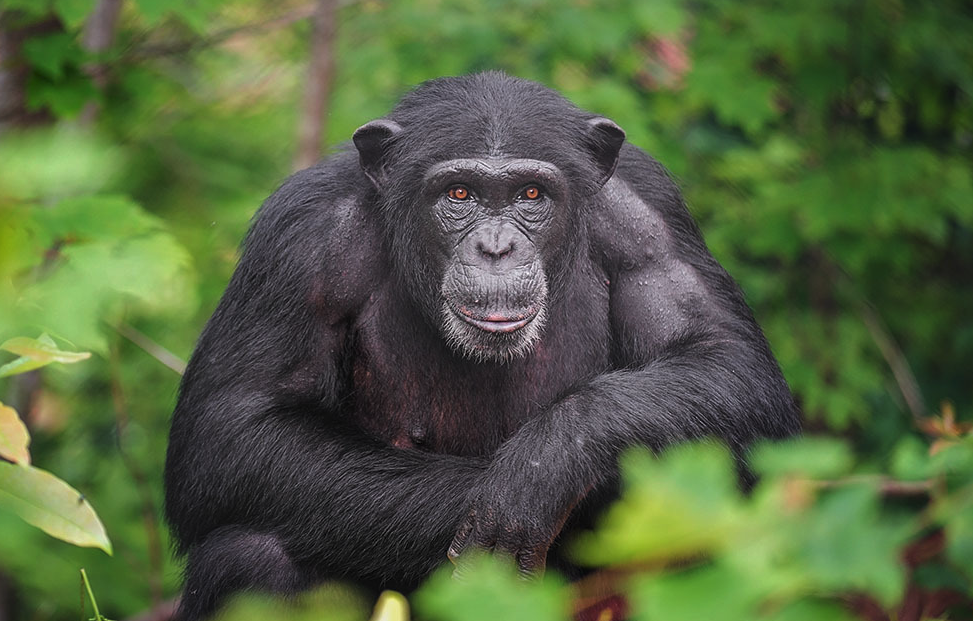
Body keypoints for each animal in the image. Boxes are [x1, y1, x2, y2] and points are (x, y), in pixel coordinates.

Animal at [161, 71, 796, 616]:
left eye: (532, 194)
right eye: (460, 193)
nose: (495, 247)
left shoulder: (647, 216)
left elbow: (726, 361)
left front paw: (544, 467)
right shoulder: (300, 238)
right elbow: (236, 426)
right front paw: (524, 496)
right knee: (250, 555)